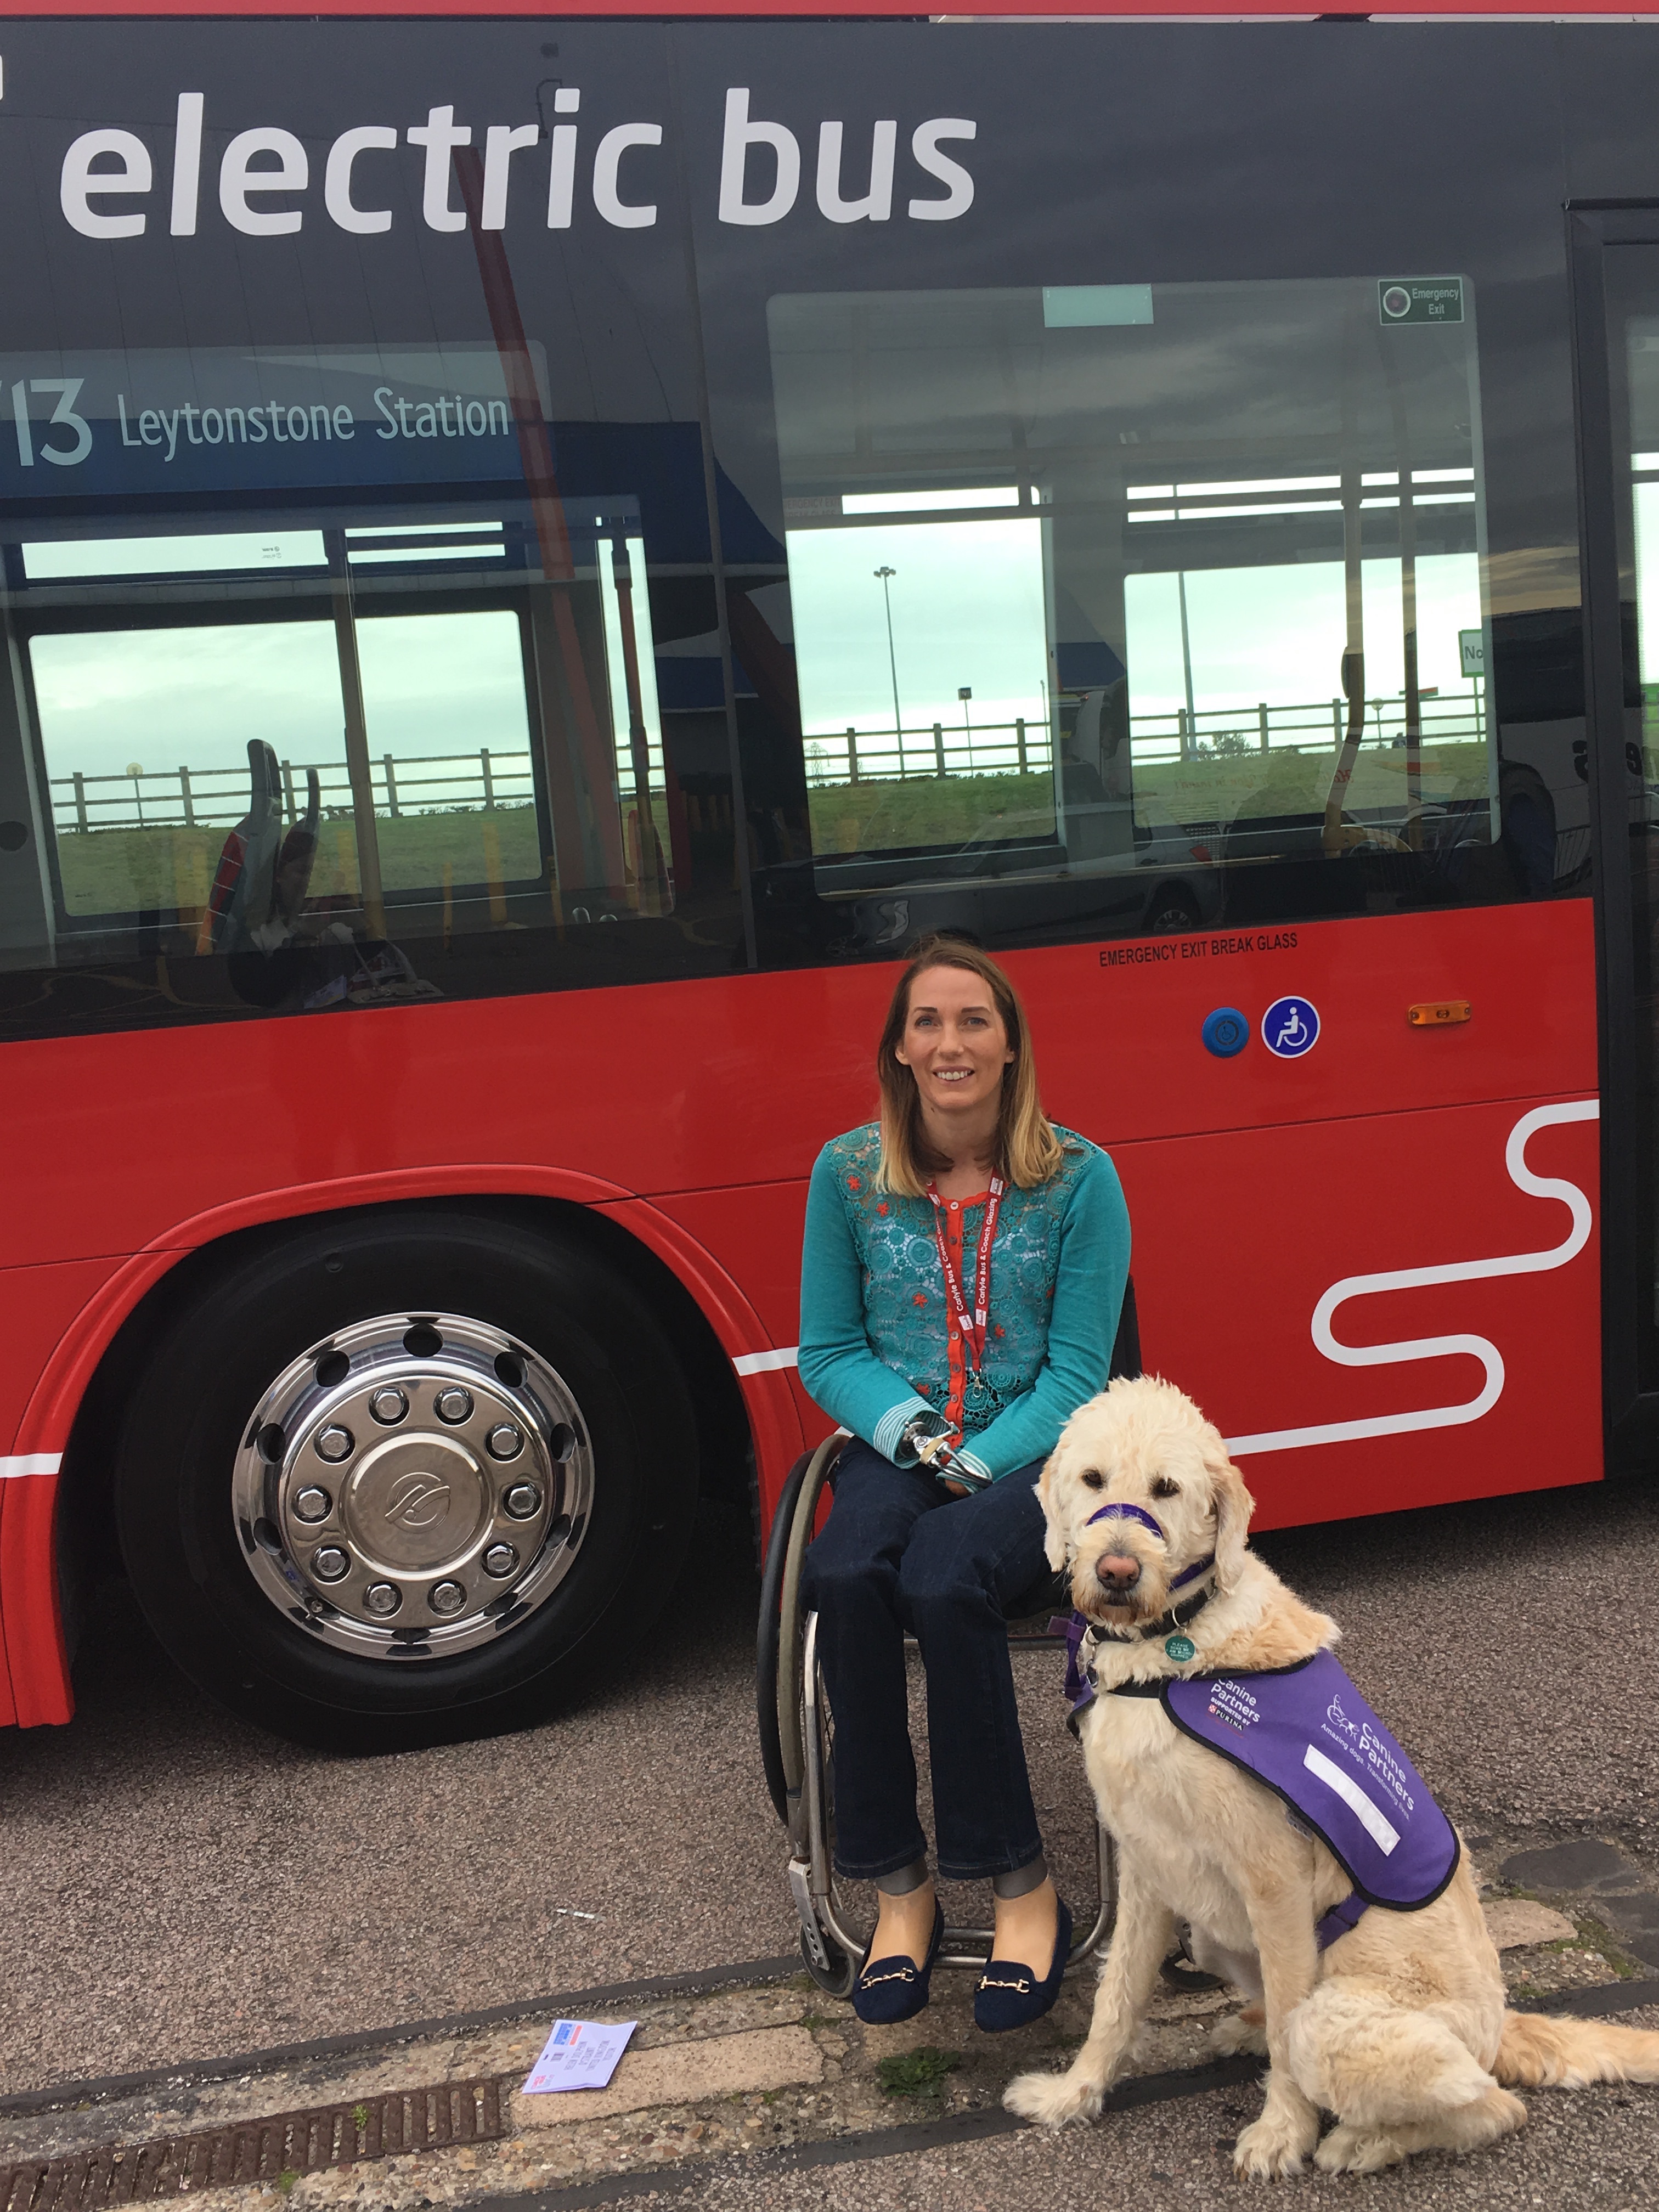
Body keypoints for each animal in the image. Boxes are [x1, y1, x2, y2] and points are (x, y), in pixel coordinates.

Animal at [1000, 1380, 1659, 2176]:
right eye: (1094, 1480)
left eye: (1167, 1489)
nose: (1117, 1572)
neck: (1174, 1650)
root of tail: (1500, 2027)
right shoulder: (1146, 1866)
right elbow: (1117, 1998)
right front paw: (1075, 2094)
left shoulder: (1274, 1880)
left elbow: (1286, 2023)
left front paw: (1284, 2132)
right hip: (1212, 1935)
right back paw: (1247, 2028)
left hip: (1345, 2017)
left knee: (1490, 2105)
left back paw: (1359, 2142)